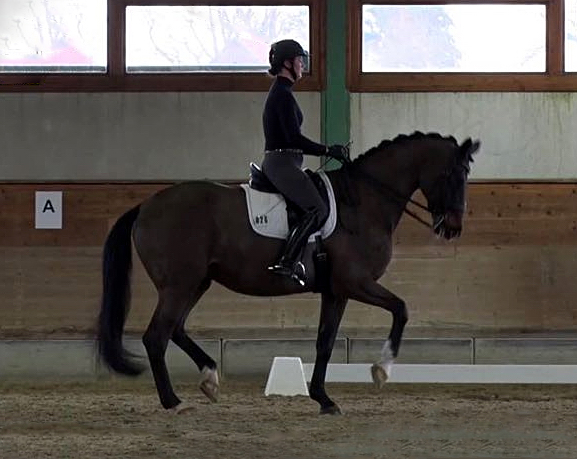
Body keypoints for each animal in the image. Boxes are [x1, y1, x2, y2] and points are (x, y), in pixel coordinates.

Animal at [97, 131, 480, 416]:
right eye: (454, 174)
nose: (453, 228)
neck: (364, 201)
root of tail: (146, 205)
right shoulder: (355, 282)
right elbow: (401, 309)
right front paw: (381, 370)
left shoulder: (336, 291)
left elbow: (325, 342)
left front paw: (323, 399)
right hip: (179, 284)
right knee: (156, 337)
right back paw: (173, 402)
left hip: (197, 282)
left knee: (175, 329)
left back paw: (209, 379)